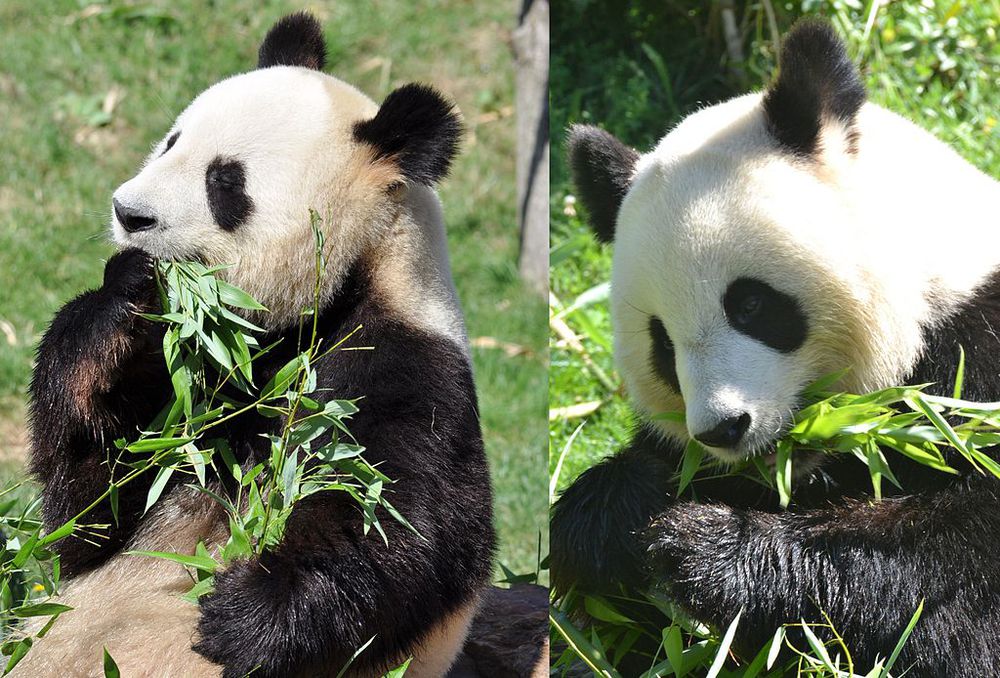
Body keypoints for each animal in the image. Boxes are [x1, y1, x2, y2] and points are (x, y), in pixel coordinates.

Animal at [20, 11, 496, 678]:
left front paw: (240, 617)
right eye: (172, 142)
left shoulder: (406, 369)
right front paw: (124, 298)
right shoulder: (191, 392)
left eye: (225, 182)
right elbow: (88, 516)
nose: (128, 213)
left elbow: (405, 527)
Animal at [552, 18, 1000, 676]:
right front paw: (618, 516)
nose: (722, 429)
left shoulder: (976, 355)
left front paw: (706, 550)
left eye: (750, 304)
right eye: (661, 341)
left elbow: (953, 572)